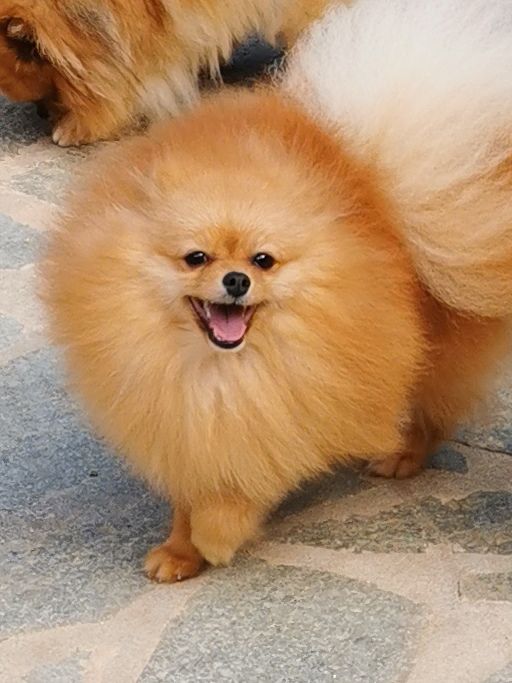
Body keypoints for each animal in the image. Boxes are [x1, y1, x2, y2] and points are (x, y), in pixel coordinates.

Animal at [43, 0, 512, 581]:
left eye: (262, 260)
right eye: (196, 257)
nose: (236, 280)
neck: (218, 373)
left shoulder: (282, 418)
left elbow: (239, 490)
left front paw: (215, 537)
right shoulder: (183, 427)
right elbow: (189, 494)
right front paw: (178, 551)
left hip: (434, 348)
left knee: (433, 407)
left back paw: (401, 455)